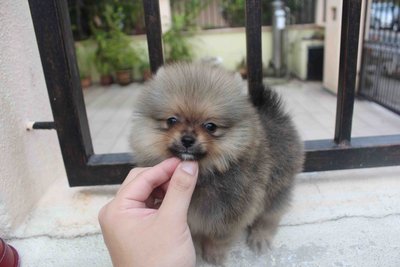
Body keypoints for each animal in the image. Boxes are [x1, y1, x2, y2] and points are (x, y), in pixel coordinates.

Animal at [130, 63, 304, 266]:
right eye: (171, 120)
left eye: (210, 126)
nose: (187, 139)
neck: (206, 173)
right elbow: (194, 234)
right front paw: (196, 250)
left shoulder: (230, 214)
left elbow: (217, 237)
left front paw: (214, 255)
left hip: (277, 185)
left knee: (270, 214)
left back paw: (260, 236)